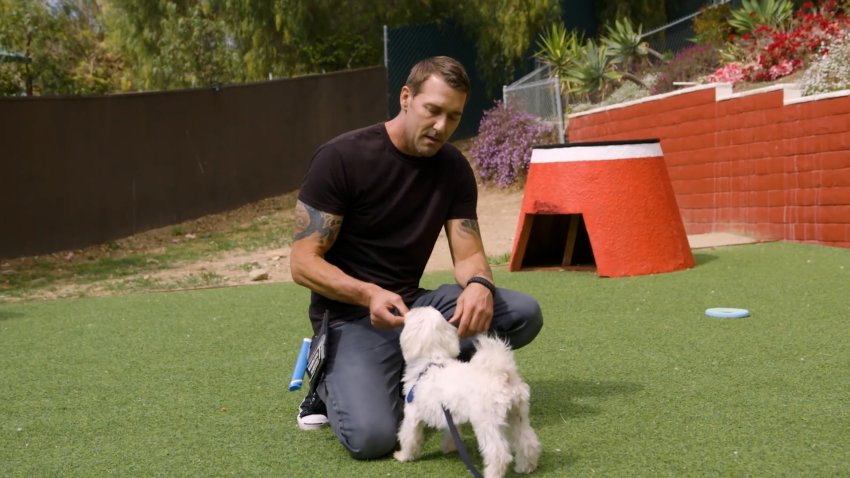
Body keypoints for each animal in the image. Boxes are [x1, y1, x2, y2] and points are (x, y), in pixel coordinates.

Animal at [390, 306, 536, 478]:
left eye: (412, 314)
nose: (404, 311)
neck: (432, 360)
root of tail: (502, 375)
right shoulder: (449, 414)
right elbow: (452, 433)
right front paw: (450, 448)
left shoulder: (412, 413)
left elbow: (408, 436)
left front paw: (403, 456)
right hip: (517, 415)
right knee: (528, 441)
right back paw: (526, 467)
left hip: (487, 421)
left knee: (499, 453)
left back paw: (492, 473)